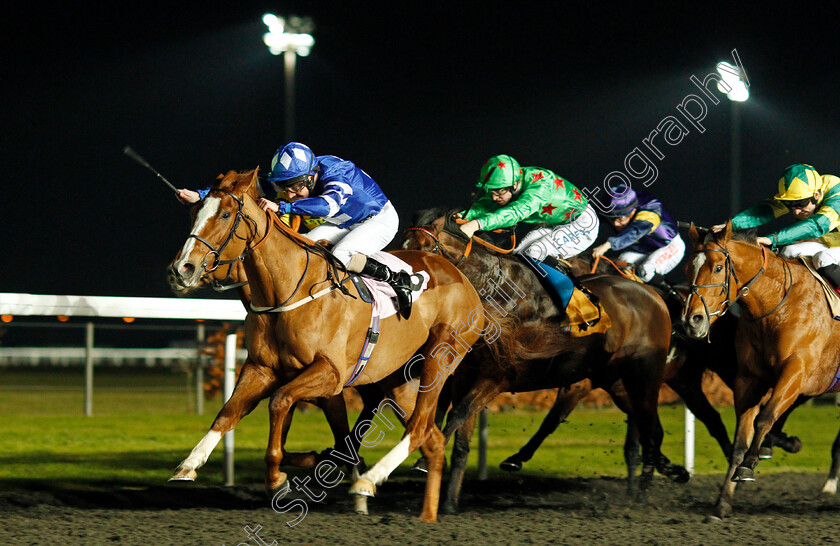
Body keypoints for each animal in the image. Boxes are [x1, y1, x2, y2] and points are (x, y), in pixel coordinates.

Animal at [167, 168, 488, 520]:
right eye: (195, 212)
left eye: (225, 214)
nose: (181, 269)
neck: (288, 290)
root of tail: (462, 279)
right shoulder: (262, 368)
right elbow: (229, 412)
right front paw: (189, 464)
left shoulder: (330, 374)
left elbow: (280, 403)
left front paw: (279, 477)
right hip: (398, 380)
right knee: (432, 439)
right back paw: (426, 514)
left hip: (440, 357)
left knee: (418, 428)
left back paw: (368, 482)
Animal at [402, 206, 688, 508]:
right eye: (401, 246)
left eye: (423, 250)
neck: (496, 291)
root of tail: (655, 298)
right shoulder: (465, 373)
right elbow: (458, 434)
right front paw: (447, 501)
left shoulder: (498, 377)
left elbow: (459, 413)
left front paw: (423, 460)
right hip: (615, 379)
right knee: (646, 425)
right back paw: (666, 472)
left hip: (645, 374)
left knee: (649, 423)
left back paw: (644, 492)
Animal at [680, 222, 840, 520]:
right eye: (687, 268)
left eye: (717, 267)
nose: (692, 321)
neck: (777, 306)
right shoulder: (748, 380)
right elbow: (739, 442)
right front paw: (723, 502)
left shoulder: (796, 371)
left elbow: (764, 418)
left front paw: (749, 464)